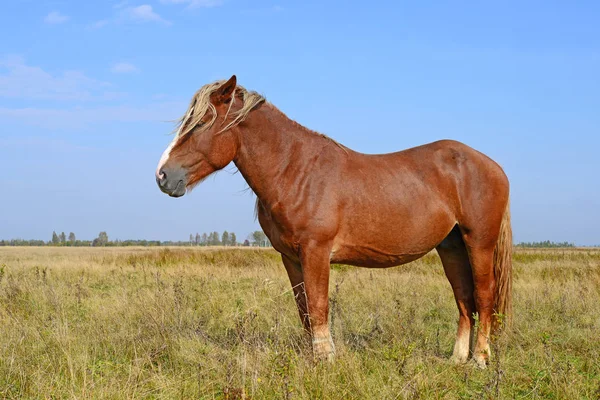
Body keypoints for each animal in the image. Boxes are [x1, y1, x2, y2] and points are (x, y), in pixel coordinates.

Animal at [155, 76, 510, 368]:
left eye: (202, 122)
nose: (163, 176)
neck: (295, 170)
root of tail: (493, 166)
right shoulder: (291, 258)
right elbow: (303, 310)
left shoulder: (316, 252)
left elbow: (318, 306)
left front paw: (325, 359)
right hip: (451, 246)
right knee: (464, 299)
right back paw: (457, 358)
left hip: (478, 242)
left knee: (483, 296)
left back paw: (479, 360)